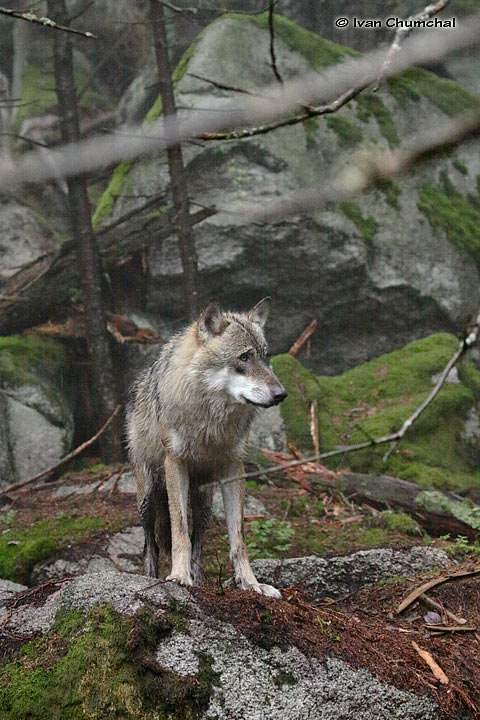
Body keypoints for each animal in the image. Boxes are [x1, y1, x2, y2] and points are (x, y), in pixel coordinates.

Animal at [125, 296, 286, 600]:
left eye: (267, 357)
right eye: (244, 357)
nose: (281, 394)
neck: (212, 421)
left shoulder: (234, 467)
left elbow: (238, 540)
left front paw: (251, 583)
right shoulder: (175, 463)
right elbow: (179, 530)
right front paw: (178, 576)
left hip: (205, 503)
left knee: (198, 542)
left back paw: (199, 580)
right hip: (148, 497)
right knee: (151, 545)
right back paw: (151, 578)